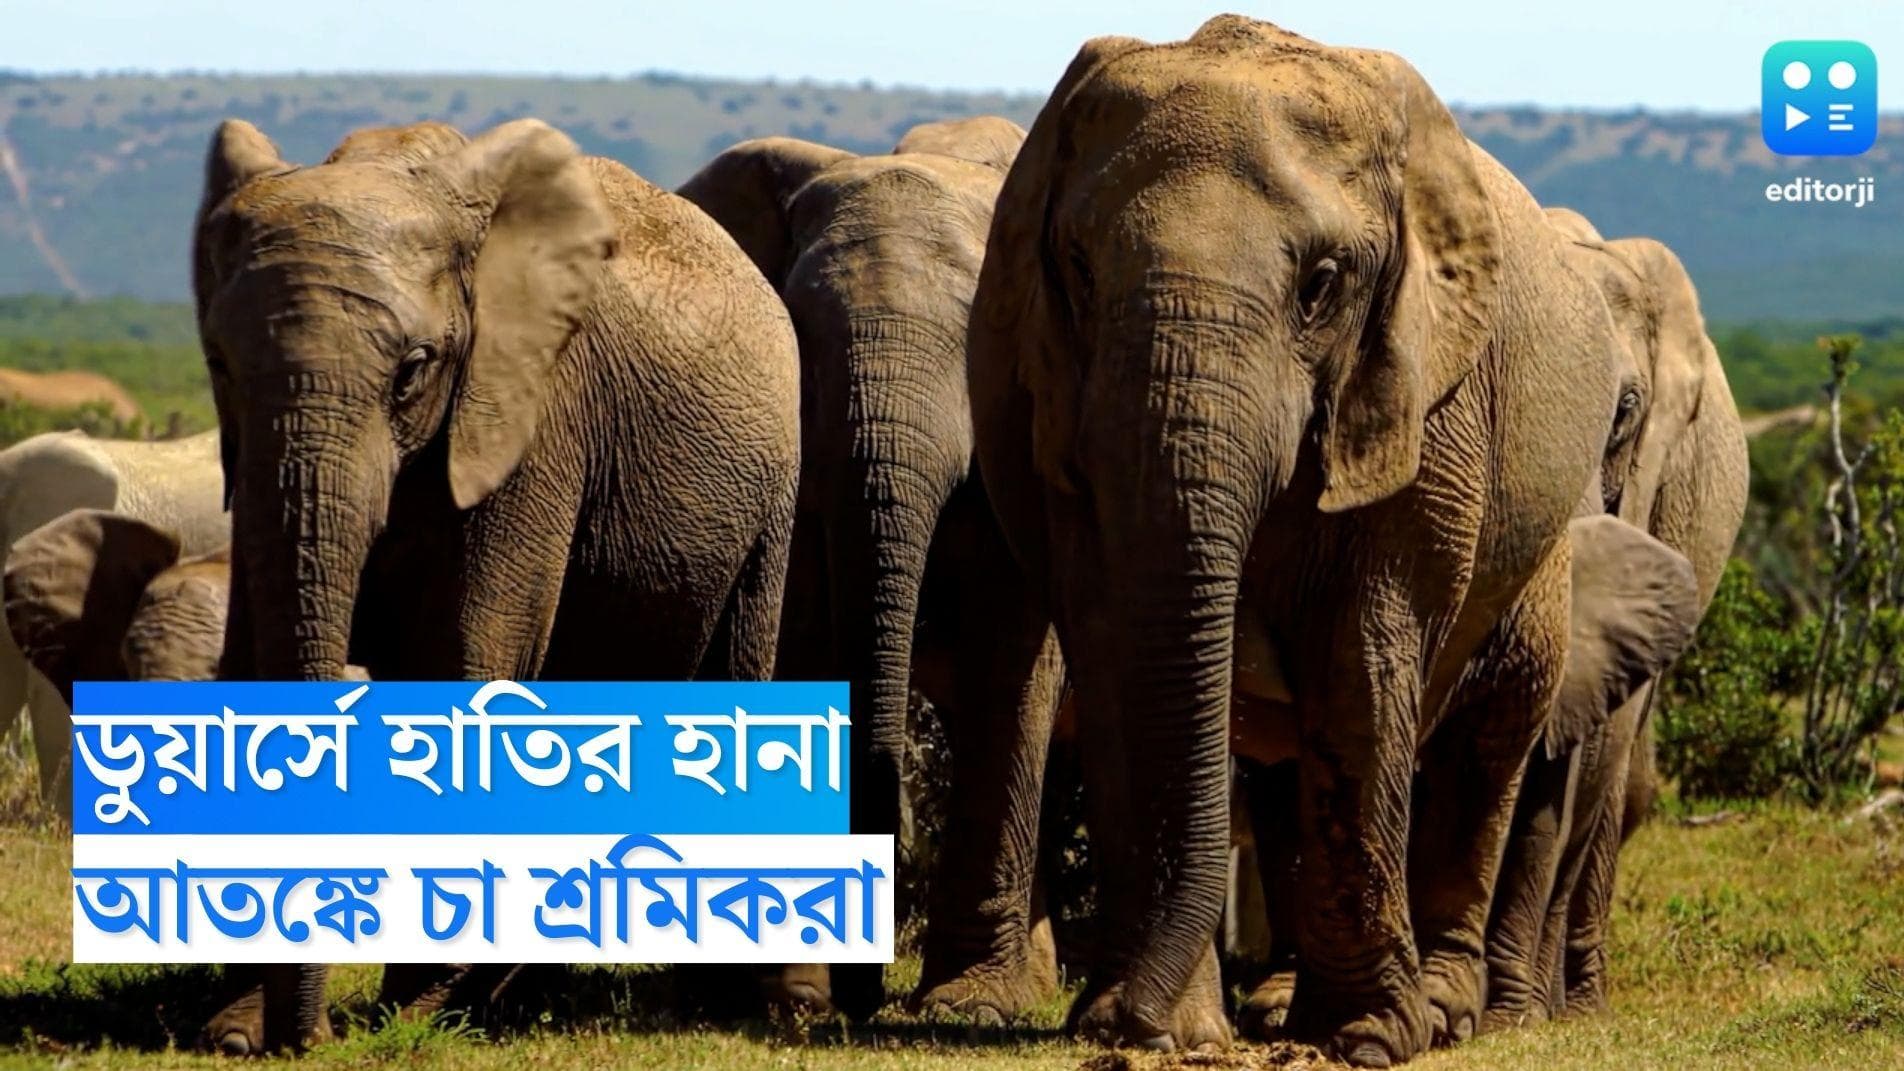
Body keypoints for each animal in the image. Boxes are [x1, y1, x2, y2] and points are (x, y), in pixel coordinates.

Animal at [189, 117, 801, 1053]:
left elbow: (468, 657)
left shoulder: (535, 418)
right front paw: (234, 1029)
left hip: (769, 504)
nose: (315, 1037)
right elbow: (252, 659)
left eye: (413, 368)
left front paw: (408, 1018)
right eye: (219, 364)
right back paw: (512, 1000)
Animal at [678, 116, 1070, 1021]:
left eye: (973, 342)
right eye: (806, 343)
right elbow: (804, 643)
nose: (863, 1000)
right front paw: (795, 1002)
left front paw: (967, 1009)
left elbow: (1010, 660)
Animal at [964, 17, 1635, 1062]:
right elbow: (1113, 645)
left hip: (1542, 547)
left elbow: (1363, 660)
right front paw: (1173, 1031)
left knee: (1492, 738)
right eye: (1077, 268)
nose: (1116, 1020)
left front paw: (1366, 1039)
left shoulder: (1424, 399)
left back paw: (1443, 1010)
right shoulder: (1048, 405)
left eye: (1321, 285)